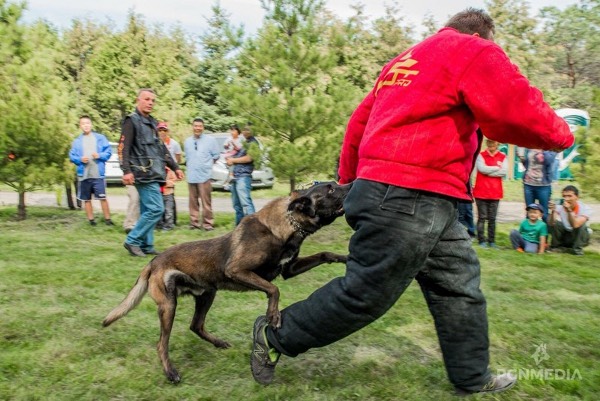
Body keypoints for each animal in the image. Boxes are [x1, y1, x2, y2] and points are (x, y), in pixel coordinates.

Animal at [101, 180, 350, 382]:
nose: (353, 184)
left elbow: (323, 254)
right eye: (330, 189)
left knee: (196, 325)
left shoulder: (289, 269)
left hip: (207, 294)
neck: (287, 225)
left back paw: (218, 342)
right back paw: (171, 373)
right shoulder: (237, 270)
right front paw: (273, 314)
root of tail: (153, 262)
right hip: (169, 306)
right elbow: (274, 289)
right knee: (162, 343)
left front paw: (343, 257)